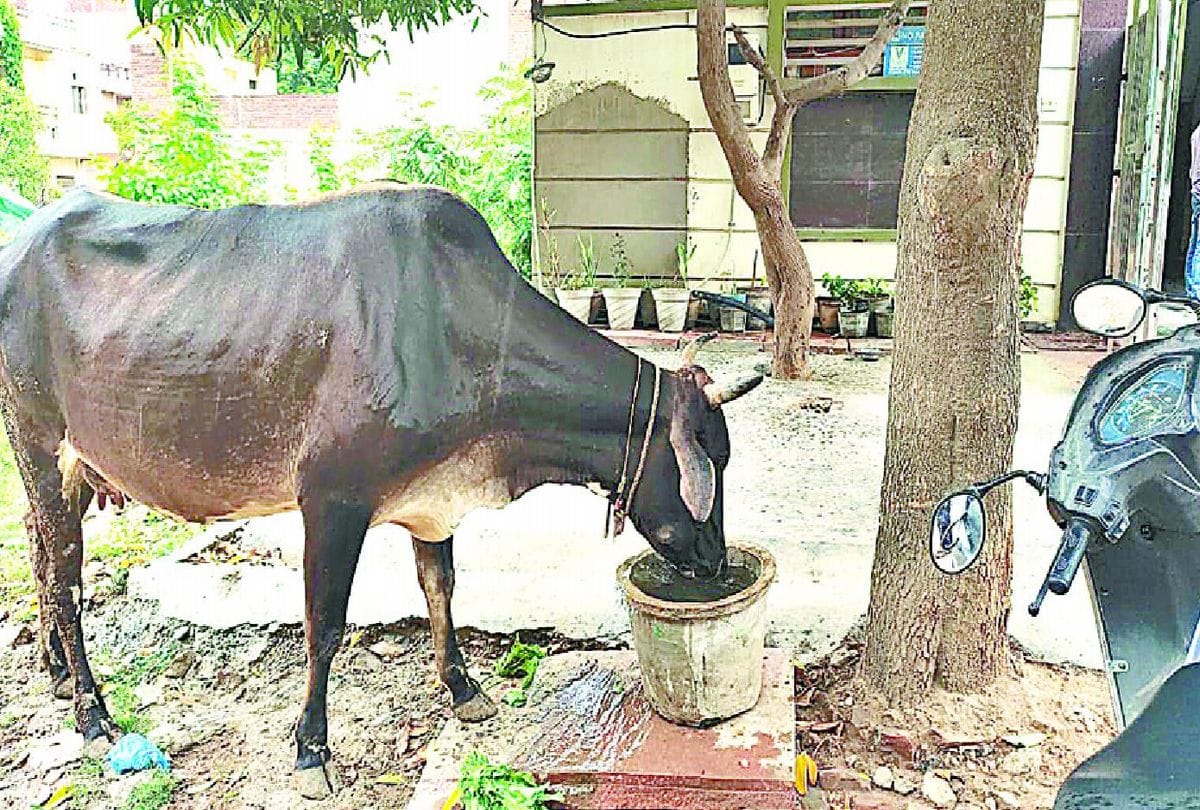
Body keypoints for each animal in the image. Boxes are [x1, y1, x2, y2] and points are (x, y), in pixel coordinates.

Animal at [0, 185, 762, 796]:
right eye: (713, 462)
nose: (717, 563)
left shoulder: (432, 504)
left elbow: (440, 589)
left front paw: (462, 687)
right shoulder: (332, 500)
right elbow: (326, 626)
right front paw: (311, 751)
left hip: (67, 466)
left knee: (38, 551)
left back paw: (55, 672)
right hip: (40, 444)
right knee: (66, 576)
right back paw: (92, 712)